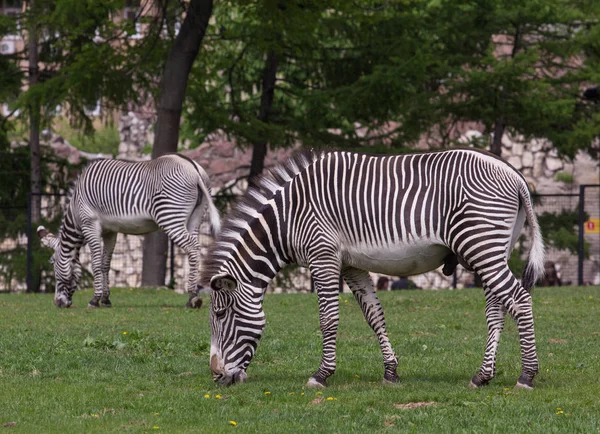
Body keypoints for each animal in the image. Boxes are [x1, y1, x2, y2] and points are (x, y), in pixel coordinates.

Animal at [40, 153, 223, 308]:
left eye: (52, 263)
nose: (58, 303)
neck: (75, 209)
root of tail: (193, 167)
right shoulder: (110, 231)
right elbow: (105, 264)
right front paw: (105, 299)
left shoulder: (89, 225)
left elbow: (96, 264)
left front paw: (95, 299)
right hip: (195, 218)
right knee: (195, 248)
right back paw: (193, 296)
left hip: (170, 217)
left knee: (192, 248)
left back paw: (193, 296)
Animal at [204, 149, 548, 390]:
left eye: (220, 314)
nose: (216, 376)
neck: (288, 217)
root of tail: (514, 174)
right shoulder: (352, 265)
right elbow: (374, 316)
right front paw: (391, 372)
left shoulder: (323, 257)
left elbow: (328, 319)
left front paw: (321, 375)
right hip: (490, 249)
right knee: (496, 309)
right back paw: (482, 376)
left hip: (481, 245)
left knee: (519, 300)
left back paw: (527, 375)